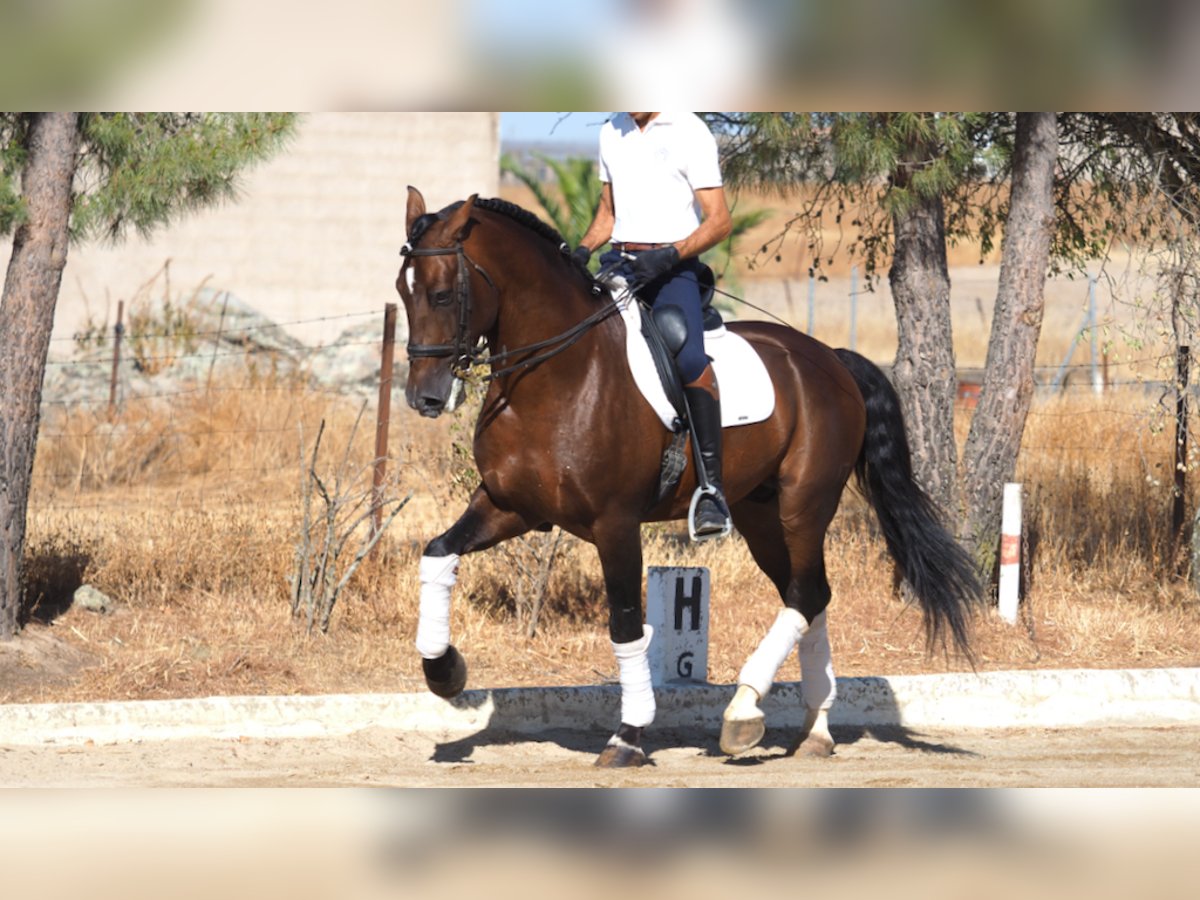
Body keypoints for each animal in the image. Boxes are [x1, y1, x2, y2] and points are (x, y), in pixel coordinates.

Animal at [398, 188, 979, 768]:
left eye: (443, 295)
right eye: (404, 293)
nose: (425, 397)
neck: (554, 376)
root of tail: (830, 359)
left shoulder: (615, 523)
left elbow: (626, 624)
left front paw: (628, 734)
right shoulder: (510, 505)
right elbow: (437, 553)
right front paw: (444, 670)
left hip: (805, 504)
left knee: (806, 594)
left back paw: (743, 713)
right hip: (761, 514)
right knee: (810, 595)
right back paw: (815, 728)